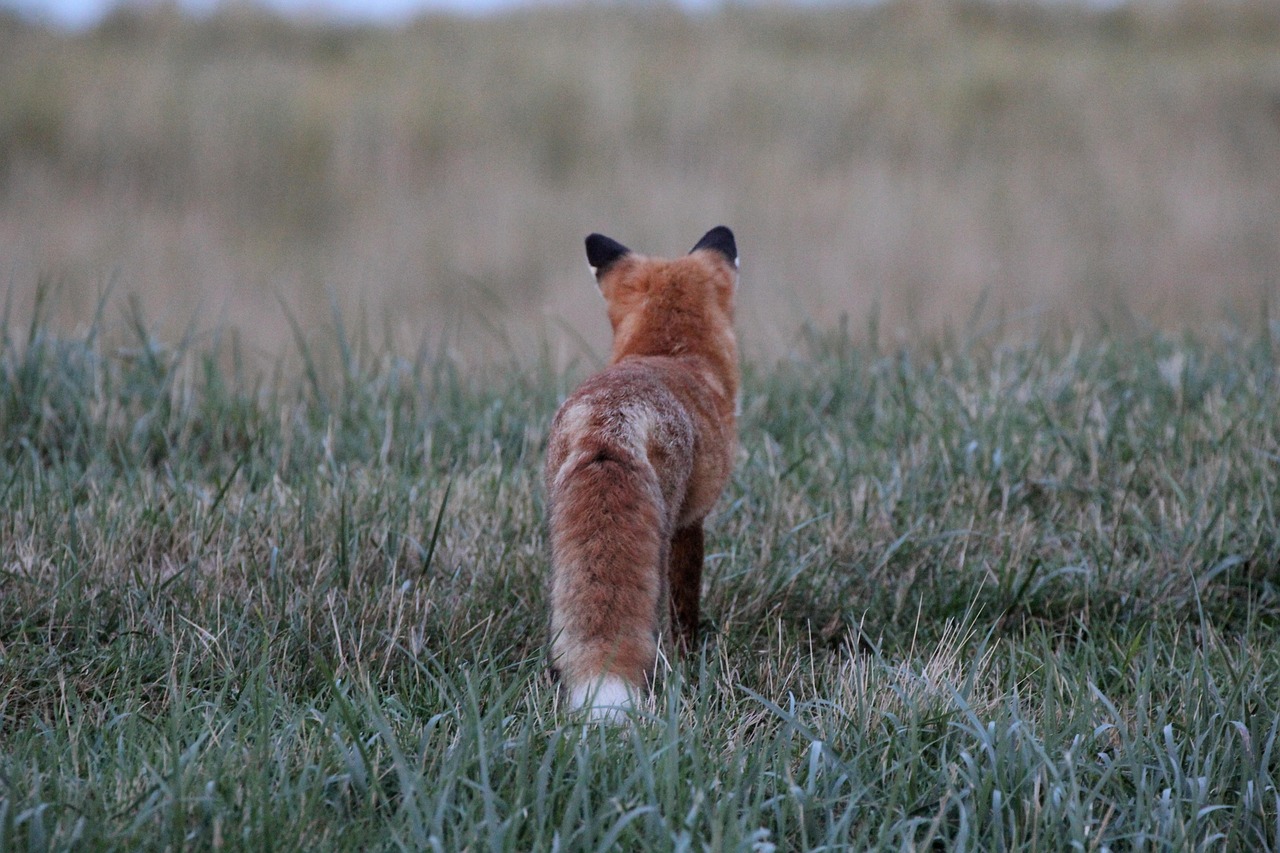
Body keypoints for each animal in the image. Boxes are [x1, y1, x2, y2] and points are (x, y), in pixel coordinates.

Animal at [542, 224, 742, 717]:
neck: (669, 352)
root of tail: (607, 427)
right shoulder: (692, 521)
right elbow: (686, 608)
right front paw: (692, 655)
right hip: (662, 529)